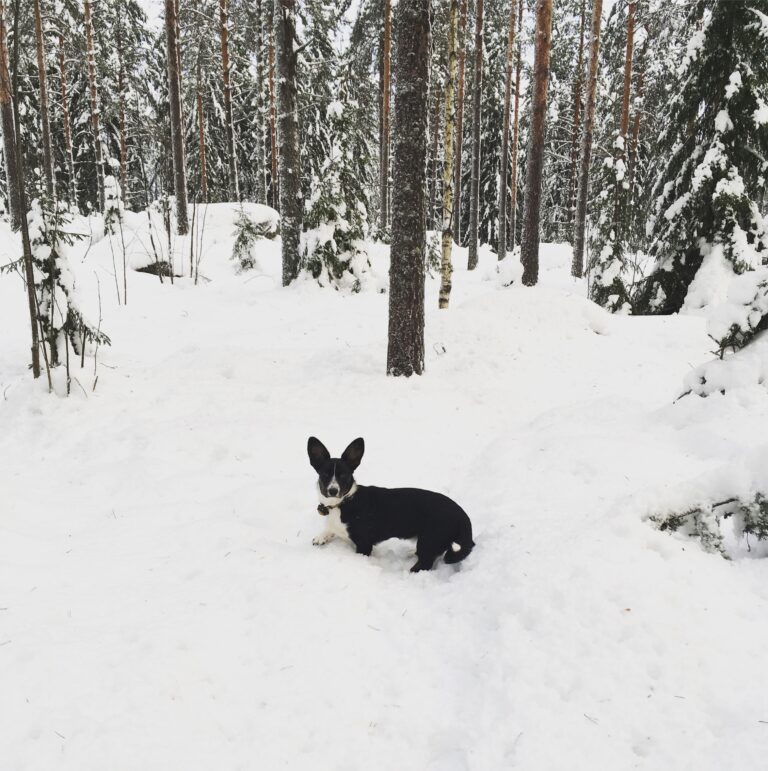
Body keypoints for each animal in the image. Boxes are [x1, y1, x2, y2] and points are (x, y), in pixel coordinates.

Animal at [306, 438, 474, 568]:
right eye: (325, 475)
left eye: (343, 475)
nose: (333, 490)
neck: (341, 503)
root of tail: (463, 517)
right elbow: (330, 529)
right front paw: (322, 536)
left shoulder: (364, 543)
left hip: (430, 539)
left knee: (424, 564)